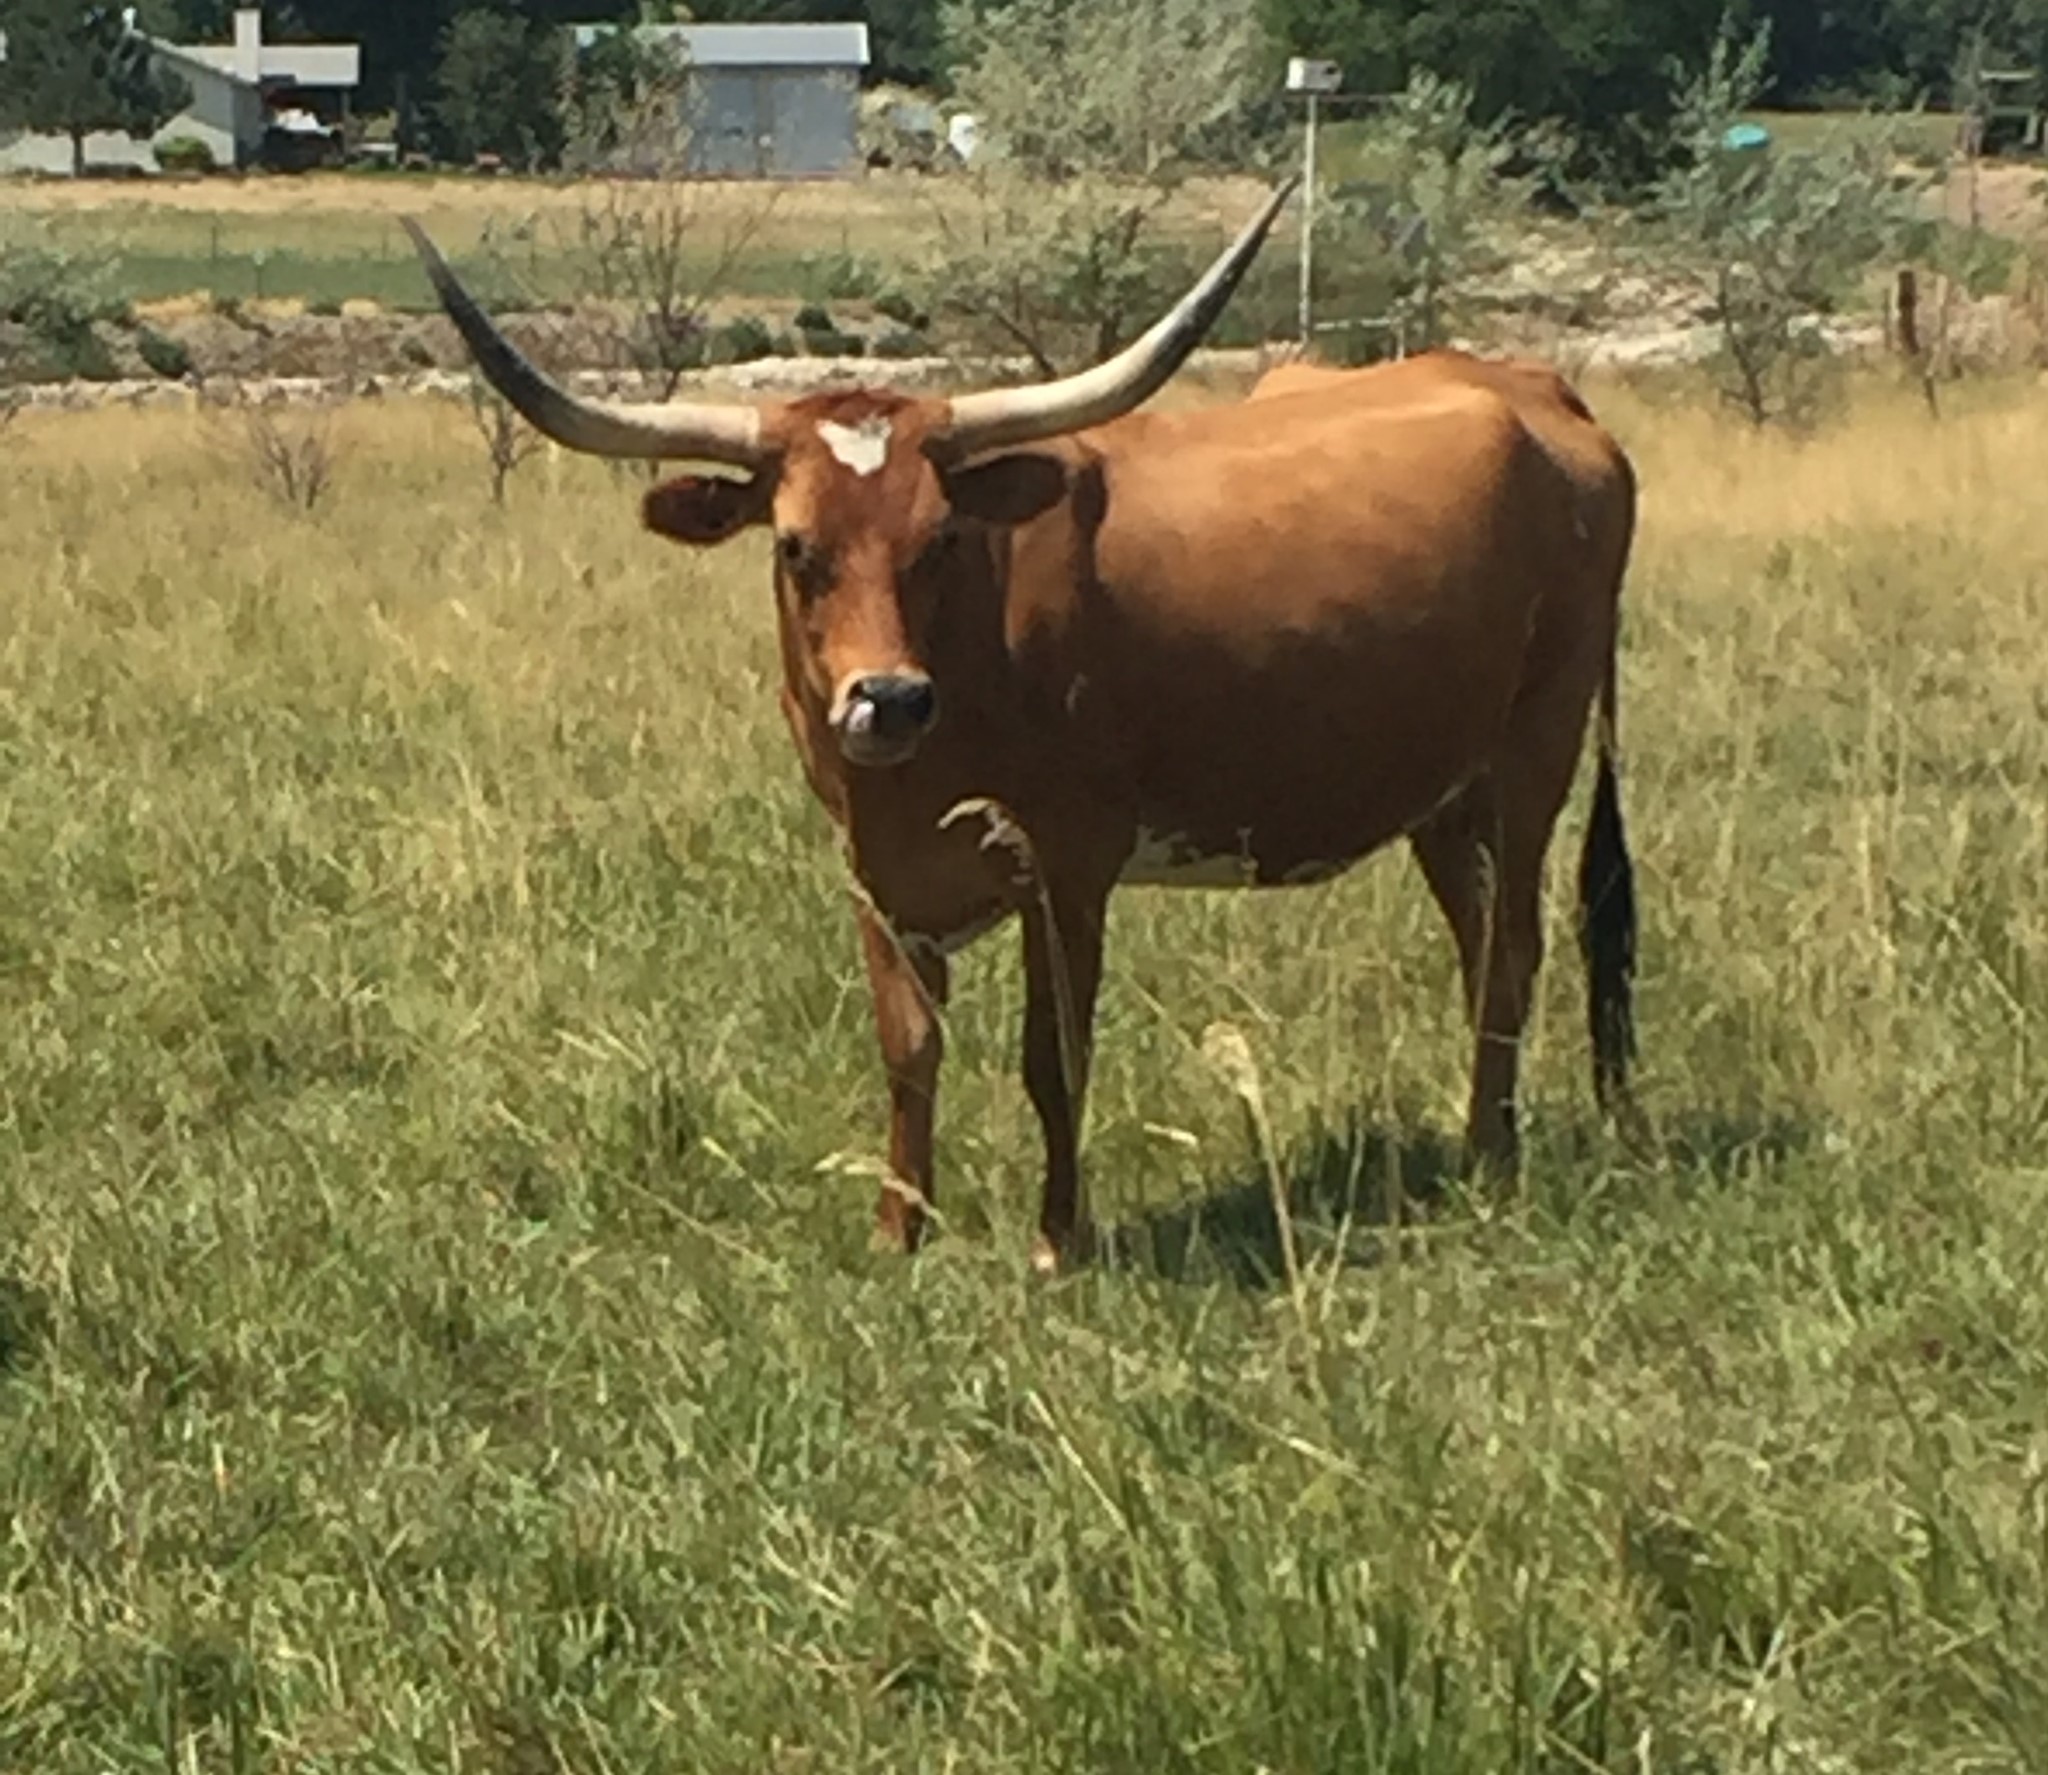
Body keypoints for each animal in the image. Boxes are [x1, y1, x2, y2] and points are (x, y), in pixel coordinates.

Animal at [403, 184, 1641, 1274]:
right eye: (795, 546)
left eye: (939, 538)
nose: (887, 699)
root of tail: (1540, 393)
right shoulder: (874, 872)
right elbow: (907, 1048)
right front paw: (898, 1231)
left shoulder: (1068, 863)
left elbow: (1055, 1056)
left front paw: (1057, 1239)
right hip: (1442, 789)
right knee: (1477, 939)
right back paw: (1474, 1129)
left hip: (1535, 750)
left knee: (1514, 947)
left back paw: (1490, 1158)